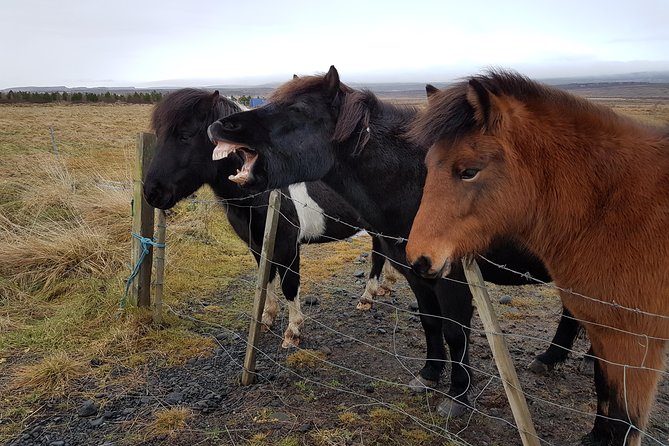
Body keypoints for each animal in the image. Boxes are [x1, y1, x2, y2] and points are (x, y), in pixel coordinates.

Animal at [206, 67, 588, 418]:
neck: (417, 186)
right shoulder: (416, 275)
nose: (220, 127)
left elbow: (455, 332)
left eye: (298, 109)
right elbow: (430, 323)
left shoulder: (452, 279)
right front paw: (429, 373)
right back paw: (551, 358)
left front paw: (458, 396)